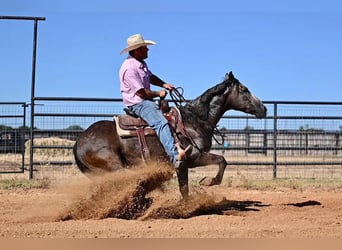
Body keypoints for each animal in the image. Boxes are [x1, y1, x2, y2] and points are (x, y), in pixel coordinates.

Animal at [73, 72, 268, 199]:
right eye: (244, 89)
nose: (264, 109)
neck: (194, 120)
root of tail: (78, 142)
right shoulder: (192, 158)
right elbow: (222, 160)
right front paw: (208, 182)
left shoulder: (184, 165)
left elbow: (185, 188)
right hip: (115, 169)